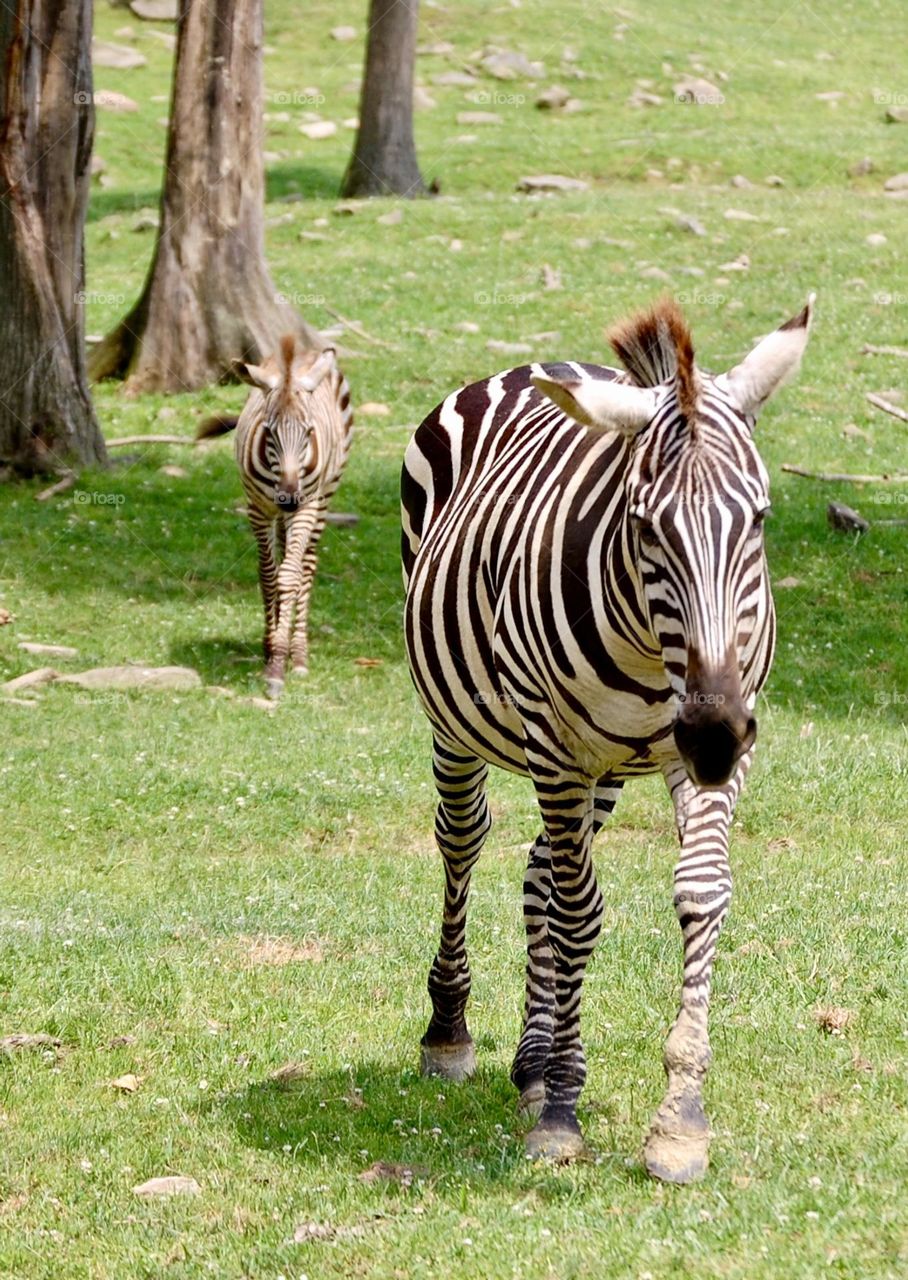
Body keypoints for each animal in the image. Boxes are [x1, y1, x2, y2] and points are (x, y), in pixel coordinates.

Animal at [199, 337, 353, 698]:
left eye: (309, 432)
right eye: (268, 433)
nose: (288, 496)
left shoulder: (306, 505)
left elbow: (290, 576)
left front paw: (279, 664)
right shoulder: (258, 507)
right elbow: (269, 575)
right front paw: (270, 650)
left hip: (324, 495)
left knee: (306, 564)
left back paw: (299, 654)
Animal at [401, 295, 813, 1182]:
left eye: (760, 519)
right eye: (645, 526)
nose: (713, 734)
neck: (655, 655)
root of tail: (536, 366)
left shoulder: (715, 741)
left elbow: (700, 893)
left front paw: (680, 1119)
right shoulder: (558, 746)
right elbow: (578, 913)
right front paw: (563, 1109)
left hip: (611, 765)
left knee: (534, 873)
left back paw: (530, 1061)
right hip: (464, 724)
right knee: (465, 842)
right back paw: (452, 1032)